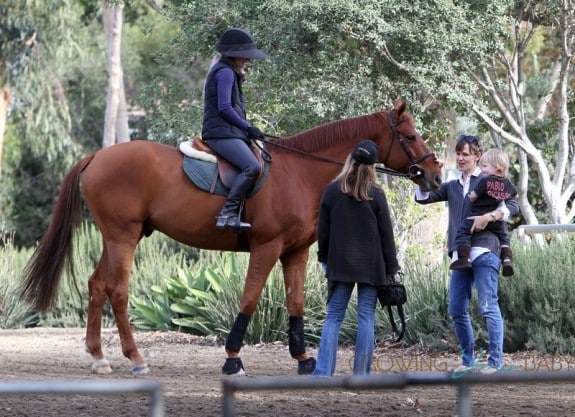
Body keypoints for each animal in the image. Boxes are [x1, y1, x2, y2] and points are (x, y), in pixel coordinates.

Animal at [18, 99, 440, 376]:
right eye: (410, 135)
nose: (436, 175)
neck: (299, 172)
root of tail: (98, 157)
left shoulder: (295, 253)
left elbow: (296, 302)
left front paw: (304, 360)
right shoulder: (266, 248)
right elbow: (250, 298)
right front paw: (233, 358)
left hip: (115, 238)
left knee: (97, 286)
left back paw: (99, 357)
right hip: (124, 237)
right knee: (118, 291)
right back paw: (135, 359)